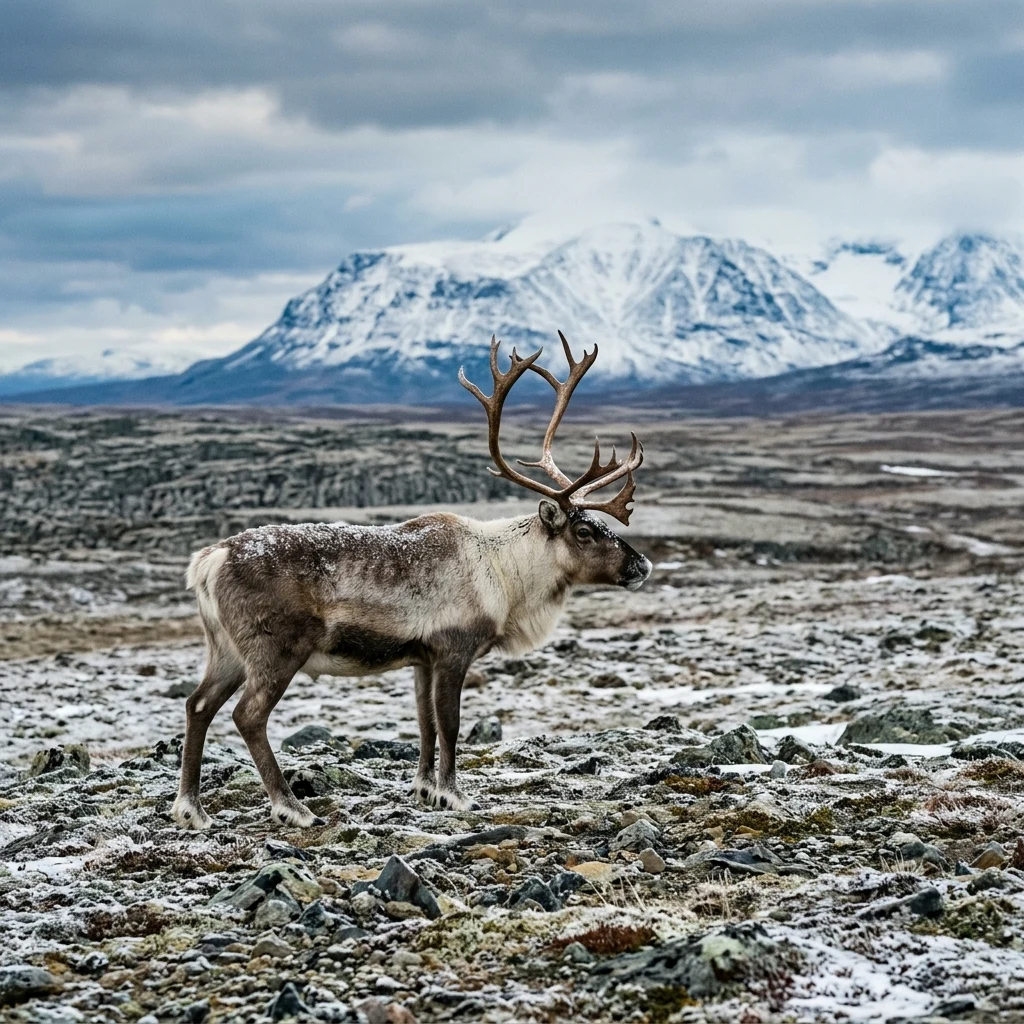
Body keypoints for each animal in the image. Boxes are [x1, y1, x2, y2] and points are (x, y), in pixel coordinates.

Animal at [172, 332, 651, 829]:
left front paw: (423, 789)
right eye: (584, 532)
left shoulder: (422, 658)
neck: (505, 574)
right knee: (247, 715)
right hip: (276, 649)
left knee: (198, 705)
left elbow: (424, 723)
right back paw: (292, 807)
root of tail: (209, 560)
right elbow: (451, 724)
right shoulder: (454, 650)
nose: (642, 566)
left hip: (226, 649)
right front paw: (453, 795)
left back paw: (191, 809)